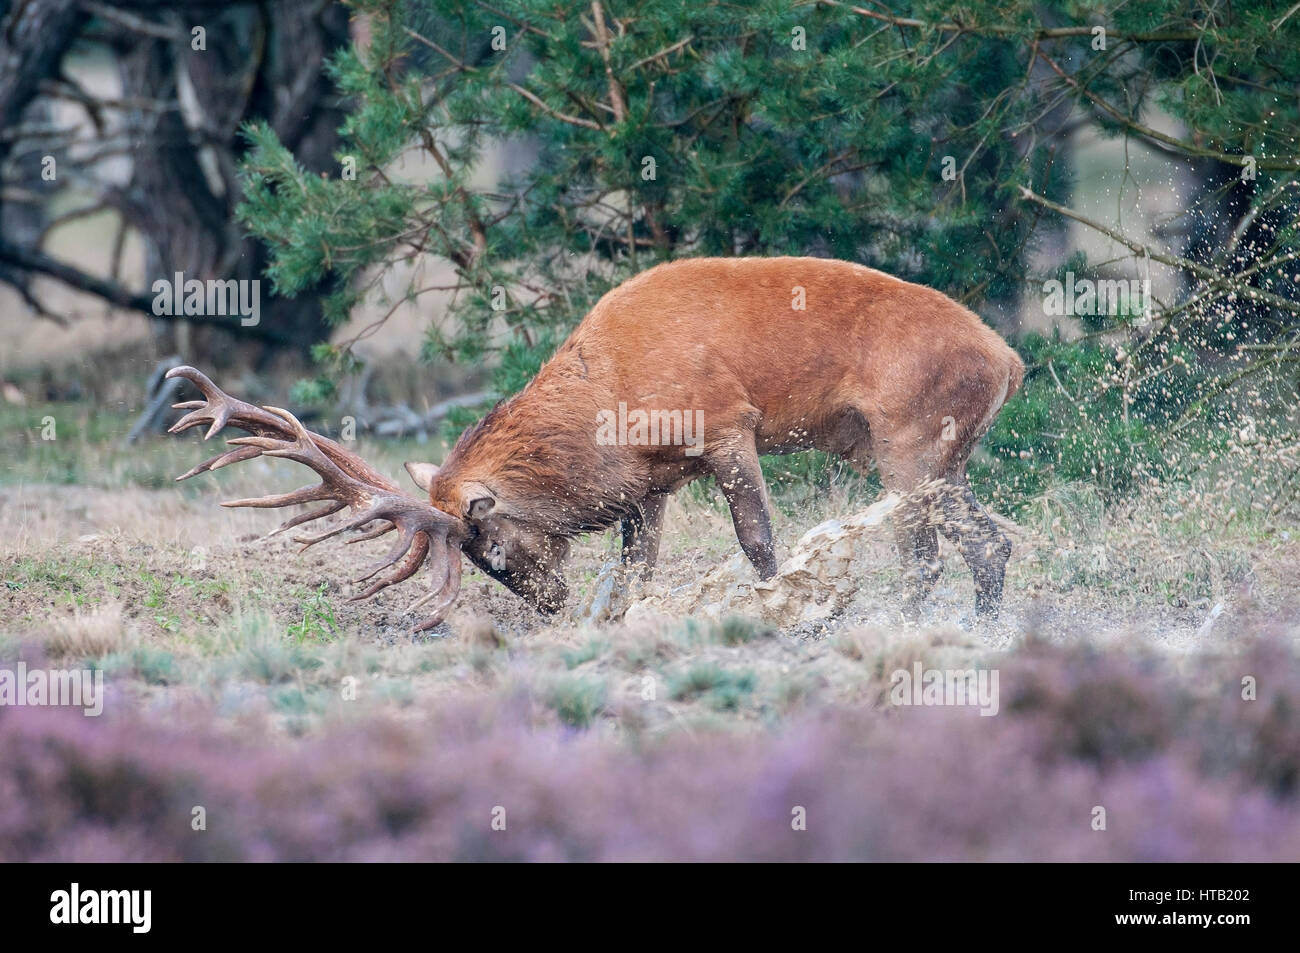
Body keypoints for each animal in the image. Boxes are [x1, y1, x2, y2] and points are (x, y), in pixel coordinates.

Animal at [168, 256, 1024, 631]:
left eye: (492, 547)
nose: (549, 605)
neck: (611, 407)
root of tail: (1009, 359)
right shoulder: (653, 483)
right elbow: (636, 565)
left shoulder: (726, 424)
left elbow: (757, 541)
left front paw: (782, 608)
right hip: (934, 455)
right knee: (989, 542)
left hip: (909, 440)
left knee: (932, 550)